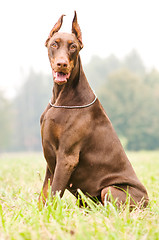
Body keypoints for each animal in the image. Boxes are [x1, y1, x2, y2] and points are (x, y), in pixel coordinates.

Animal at [39, 11, 148, 208]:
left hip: (111, 189)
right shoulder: (50, 158)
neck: (61, 98)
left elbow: (54, 194)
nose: (62, 64)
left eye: (73, 46)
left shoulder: (66, 157)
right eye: (54, 44)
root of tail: (148, 203)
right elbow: (43, 196)